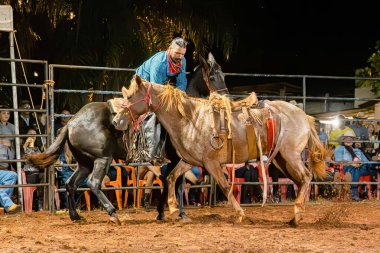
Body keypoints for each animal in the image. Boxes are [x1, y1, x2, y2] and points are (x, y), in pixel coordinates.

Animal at [113, 75, 326, 227]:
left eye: (130, 97)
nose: (116, 121)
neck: (190, 118)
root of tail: (304, 116)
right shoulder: (191, 161)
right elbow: (171, 177)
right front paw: (173, 210)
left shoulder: (211, 163)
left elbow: (224, 186)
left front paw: (240, 214)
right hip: (280, 159)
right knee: (301, 181)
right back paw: (296, 215)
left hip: (291, 156)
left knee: (306, 176)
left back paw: (297, 216)